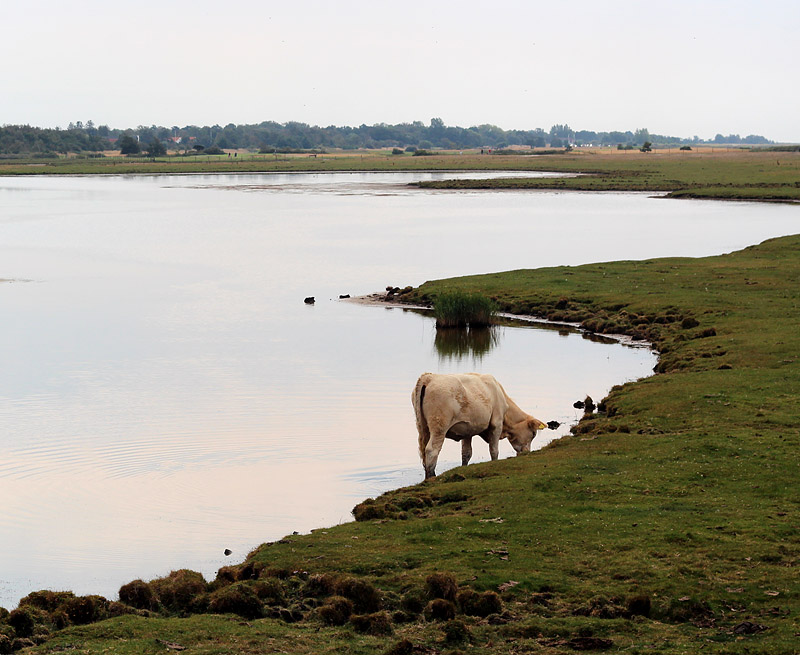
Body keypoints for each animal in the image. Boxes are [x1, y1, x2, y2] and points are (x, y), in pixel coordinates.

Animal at [410, 374, 548, 482]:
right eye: (533, 433)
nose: (526, 452)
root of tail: (429, 377)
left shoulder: (467, 430)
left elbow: (466, 453)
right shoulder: (496, 424)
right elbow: (494, 450)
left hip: (423, 427)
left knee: (424, 452)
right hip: (439, 427)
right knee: (431, 450)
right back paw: (432, 477)